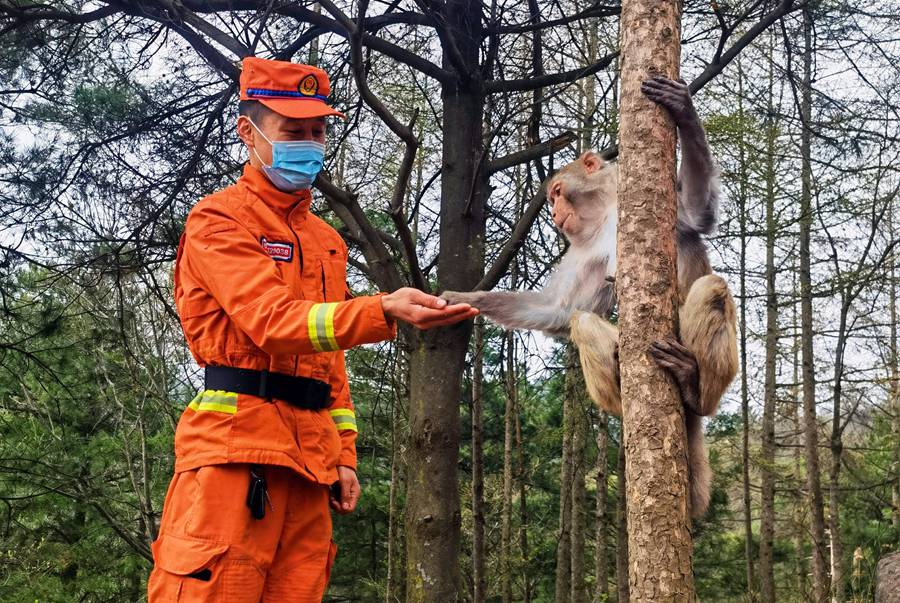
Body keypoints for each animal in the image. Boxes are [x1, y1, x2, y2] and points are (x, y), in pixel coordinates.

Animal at [442, 76, 740, 520]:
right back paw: (622, 394)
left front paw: (683, 109)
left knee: (713, 288)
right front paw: (463, 299)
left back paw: (694, 386)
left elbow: (699, 210)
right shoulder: (584, 248)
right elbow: (561, 310)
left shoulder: (668, 208)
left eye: (558, 192)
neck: (610, 211)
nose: (553, 214)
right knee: (582, 321)